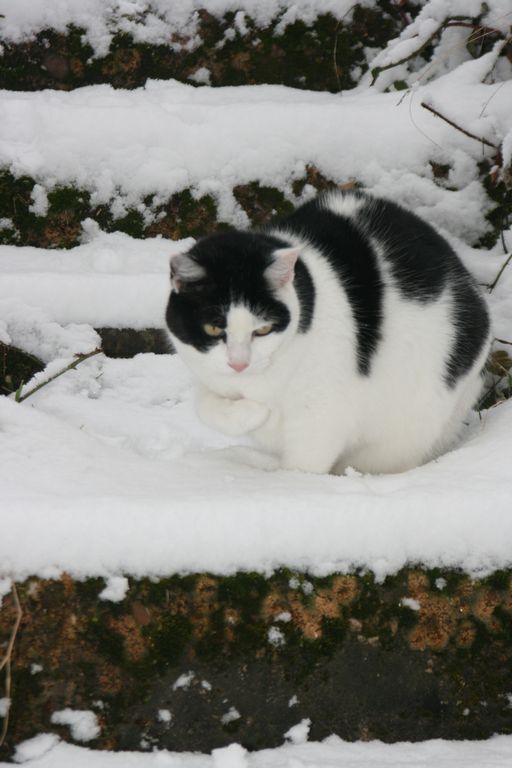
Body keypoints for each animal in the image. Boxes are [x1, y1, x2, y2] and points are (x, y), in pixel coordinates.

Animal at [165, 189, 492, 474]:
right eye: (213, 328)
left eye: (263, 329)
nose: (238, 363)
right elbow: (203, 405)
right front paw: (253, 414)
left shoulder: (321, 412)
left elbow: (304, 463)